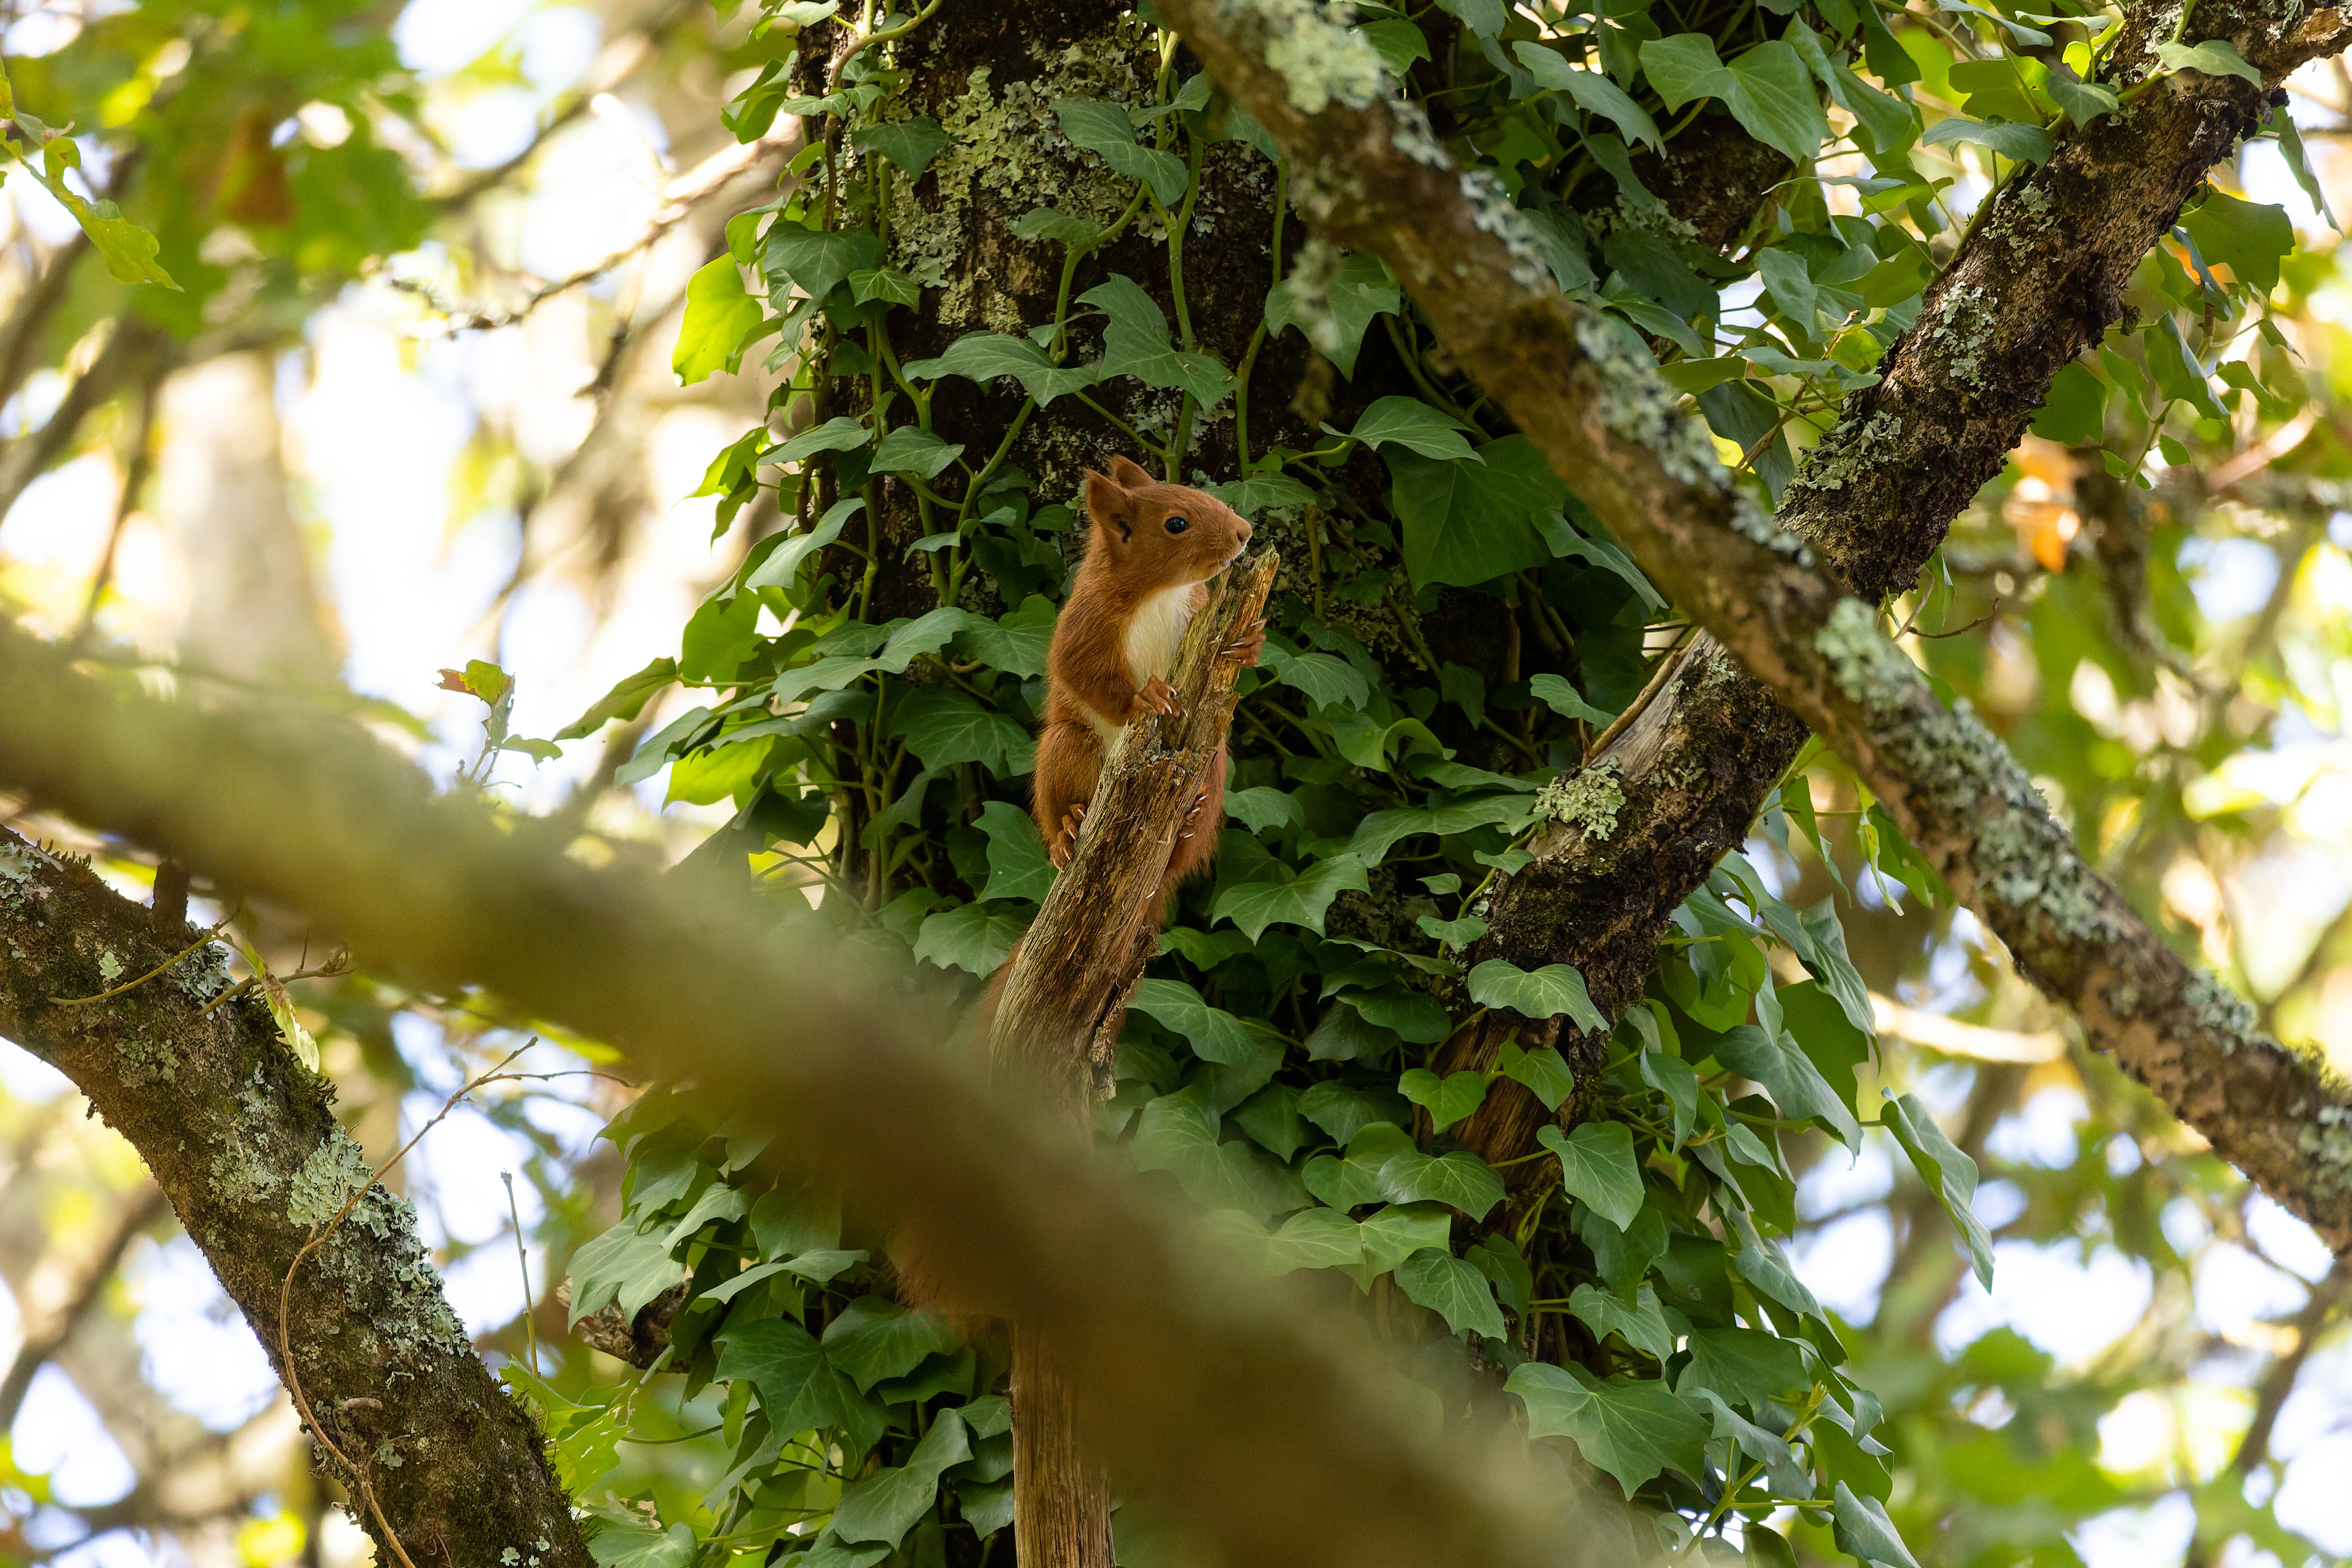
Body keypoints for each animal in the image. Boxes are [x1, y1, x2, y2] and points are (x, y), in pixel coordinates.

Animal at [1031, 453, 1265, 901]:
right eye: (1176, 524)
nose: (1244, 532)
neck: (1159, 594)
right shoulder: (1087, 622)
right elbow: (1077, 668)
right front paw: (1145, 699)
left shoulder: (1199, 606)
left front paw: (1251, 644)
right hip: (1065, 749)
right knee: (1057, 808)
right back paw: (1068, 831)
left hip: (1215, 766)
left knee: (1182, 856)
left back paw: (1188, 826)